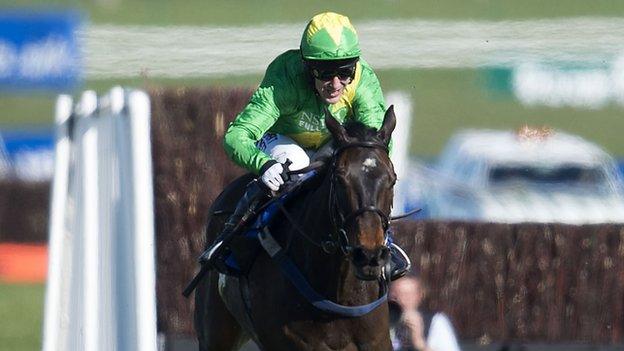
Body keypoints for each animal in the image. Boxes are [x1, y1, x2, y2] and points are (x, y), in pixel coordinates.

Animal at [195, 106, 398, 350]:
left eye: (392, 179)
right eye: (340, 179)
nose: (368, 255)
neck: (337, 295)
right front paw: (272, 173)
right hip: (215, 332)